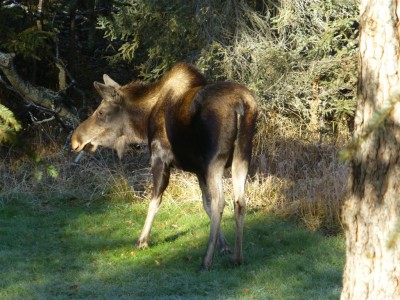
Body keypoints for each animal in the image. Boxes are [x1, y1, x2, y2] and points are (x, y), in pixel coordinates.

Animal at [70, 63, 258, 270]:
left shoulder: (160, 158)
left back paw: (207, 261)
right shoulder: (198, 169)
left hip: (215, 160)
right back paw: (237, 258)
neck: (143, 123)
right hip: (242, 155)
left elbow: (155, 201)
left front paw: (142, 240)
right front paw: (224, 246)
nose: (75, 140)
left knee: (220, 201)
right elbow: (205, 204)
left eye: (101, 112)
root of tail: (241, 104)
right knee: (239, 201)